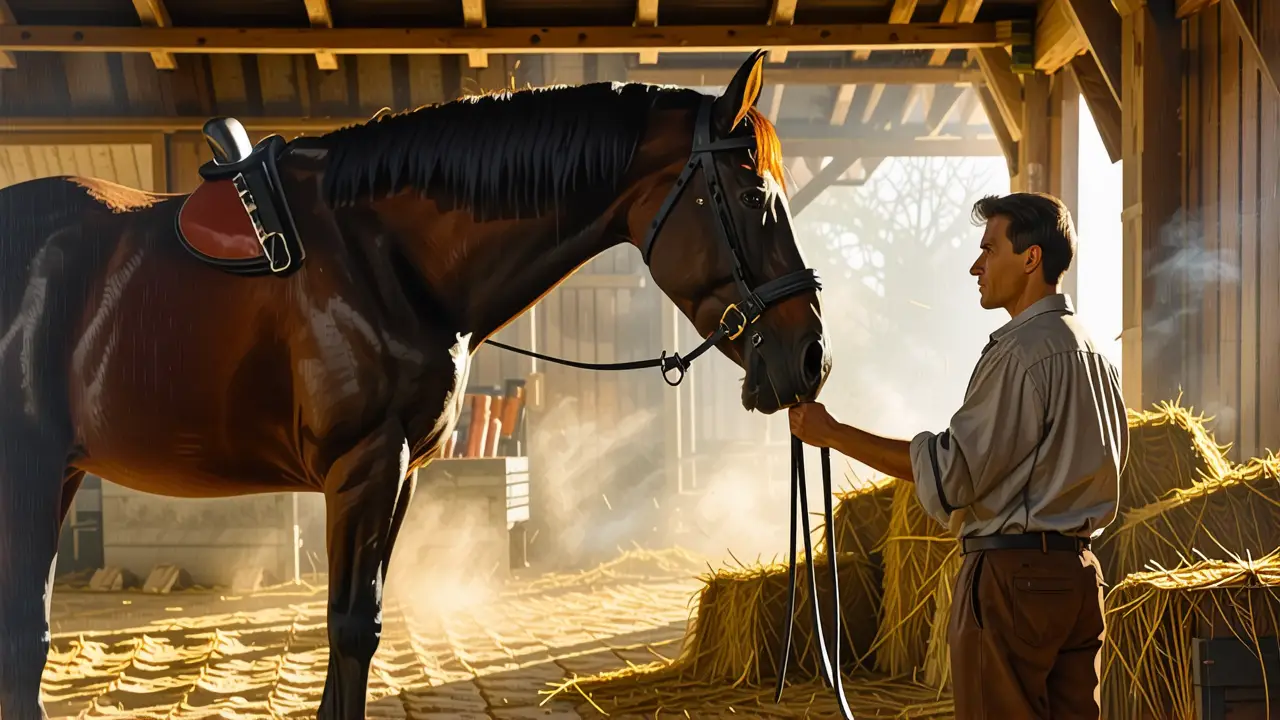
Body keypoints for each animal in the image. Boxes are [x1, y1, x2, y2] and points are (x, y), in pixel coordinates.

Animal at [0, 50, 832, 719]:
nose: (811, 357)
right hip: (34, 474)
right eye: (753, 193)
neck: (381, 256)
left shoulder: (399, 473)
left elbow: (357, 628)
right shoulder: (363, 467)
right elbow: (350, 628)